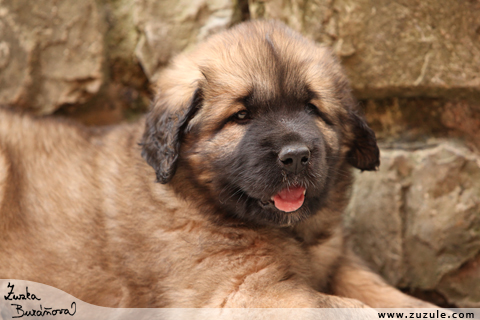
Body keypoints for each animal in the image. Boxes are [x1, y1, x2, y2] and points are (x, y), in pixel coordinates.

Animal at [0, 19, 434, 308]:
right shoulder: (248, 291)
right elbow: (344, 306)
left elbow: (383, 292)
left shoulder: (338, 260)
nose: (296, 156)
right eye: (241, 116)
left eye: (312, 109)